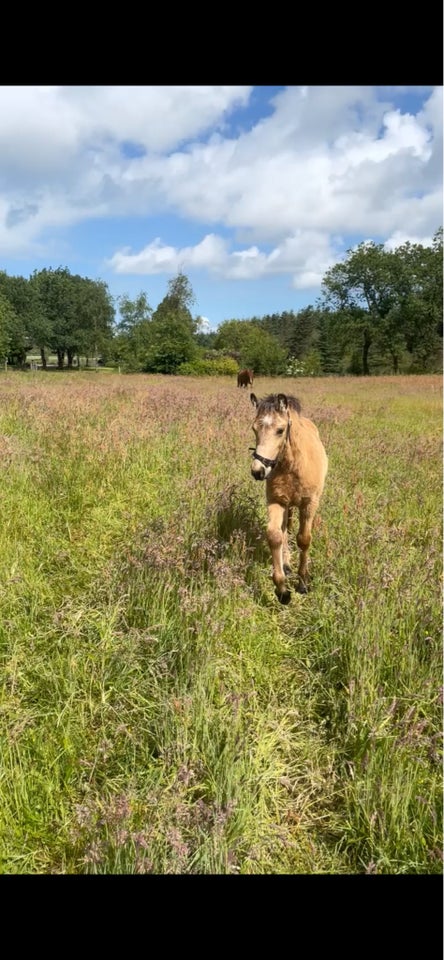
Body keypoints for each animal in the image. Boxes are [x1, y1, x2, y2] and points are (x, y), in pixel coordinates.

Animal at [251, 392, 328, 604]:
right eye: (254, 428)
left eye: (280, 430)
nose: (258, 471)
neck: (292, 465)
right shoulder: (276, 501)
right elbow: (275, 535)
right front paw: (282, 590)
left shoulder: (309, 504)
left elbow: (304, 539)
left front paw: (303, 582)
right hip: (286, 504)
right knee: (284, 529)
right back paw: (285, 565)